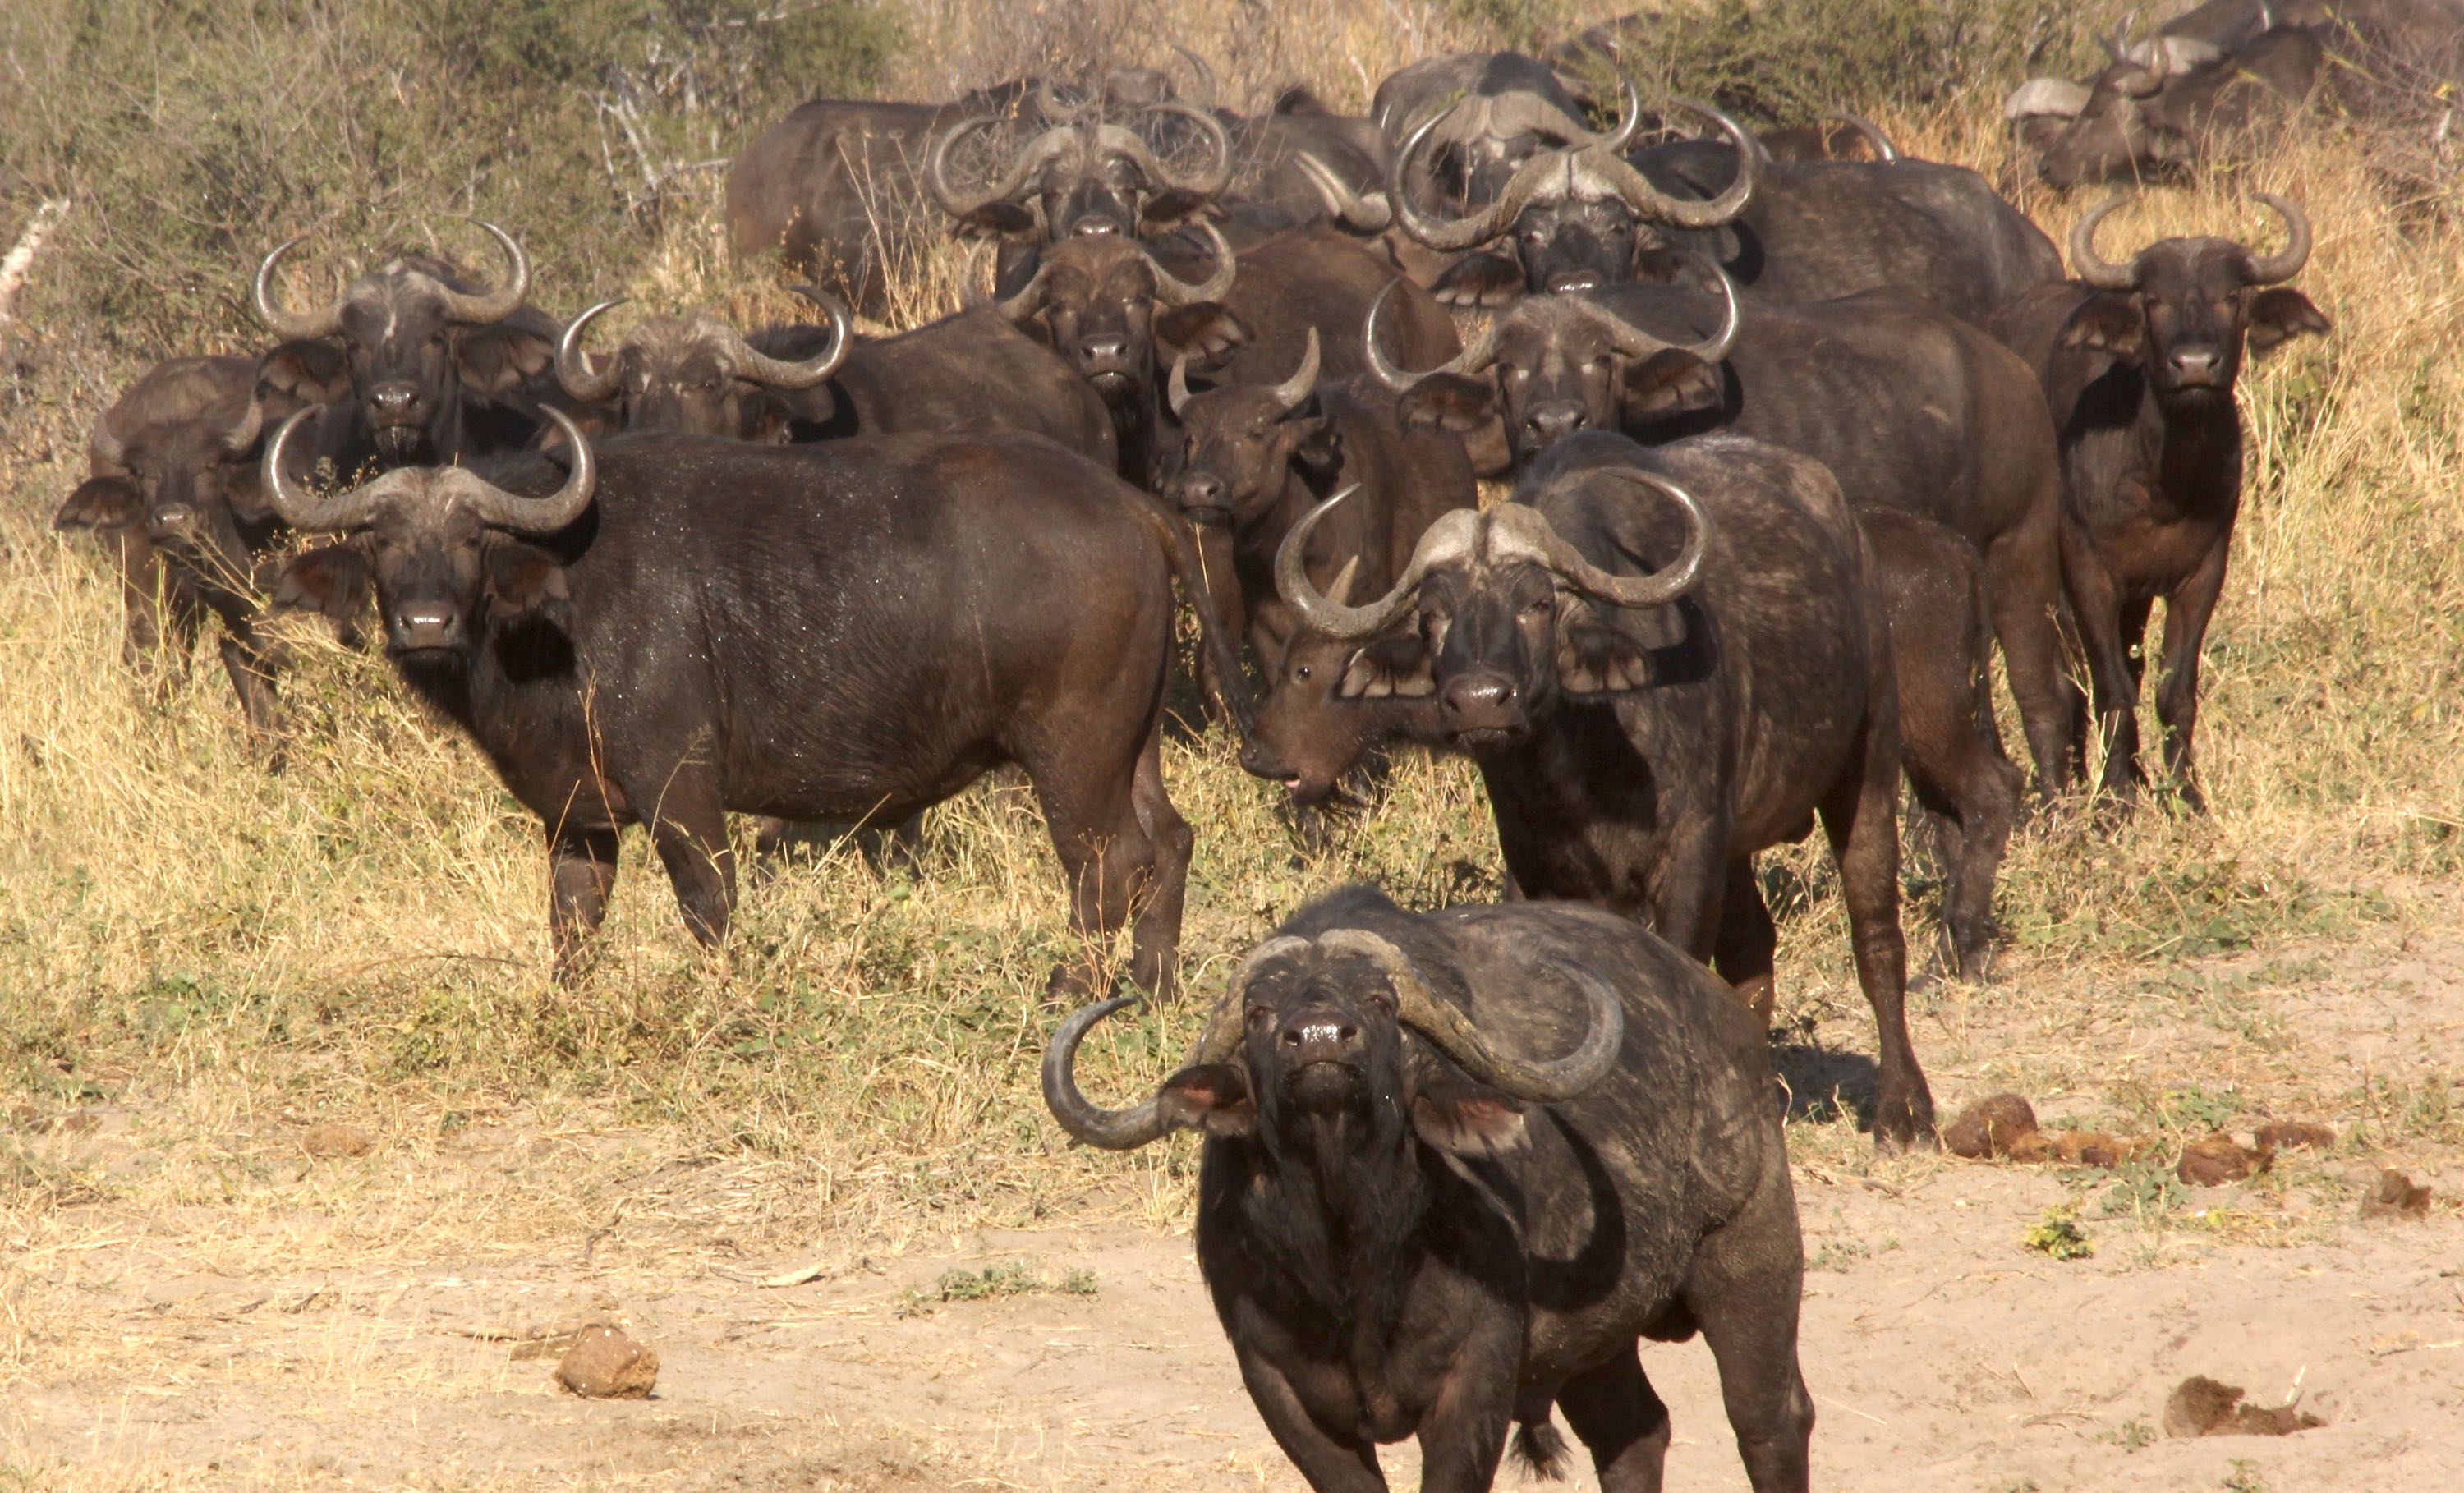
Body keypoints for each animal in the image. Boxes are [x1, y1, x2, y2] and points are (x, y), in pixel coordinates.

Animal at [262, 413, 1242, 992]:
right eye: (381, 539)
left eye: (472, 537)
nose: (424, 622)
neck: (555, 611)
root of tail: (1128, 505)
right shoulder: (577, 813)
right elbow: (572, 920)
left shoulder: (680, 788)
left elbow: (709, 901)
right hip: (1134, 745)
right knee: (1170, 841)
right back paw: (1153, 989)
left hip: (1072, 752)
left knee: (1108, 863)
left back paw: (1071, 990)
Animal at [1044, 885, 1812, 1492]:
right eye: (1260, 1011)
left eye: (1380, 1001)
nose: (1319, 1038)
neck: (1353, 1254)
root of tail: (1727, 1018)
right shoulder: (1281, 1387)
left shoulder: (1474, 1384)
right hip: (1595, 1337)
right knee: (1634, 1430)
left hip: (1751, 1254)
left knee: (1770, 1421)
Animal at [1989, 195, 2329, 808]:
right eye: (2153, 301)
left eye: (2231, 297)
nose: (2194, 365)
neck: (2164, 480)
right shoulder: (2087, 573)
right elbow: (2110, 687)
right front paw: (2115, 800)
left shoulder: (2201, 572)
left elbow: (2173, 687)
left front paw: (2184, 793)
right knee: (2070, 679)